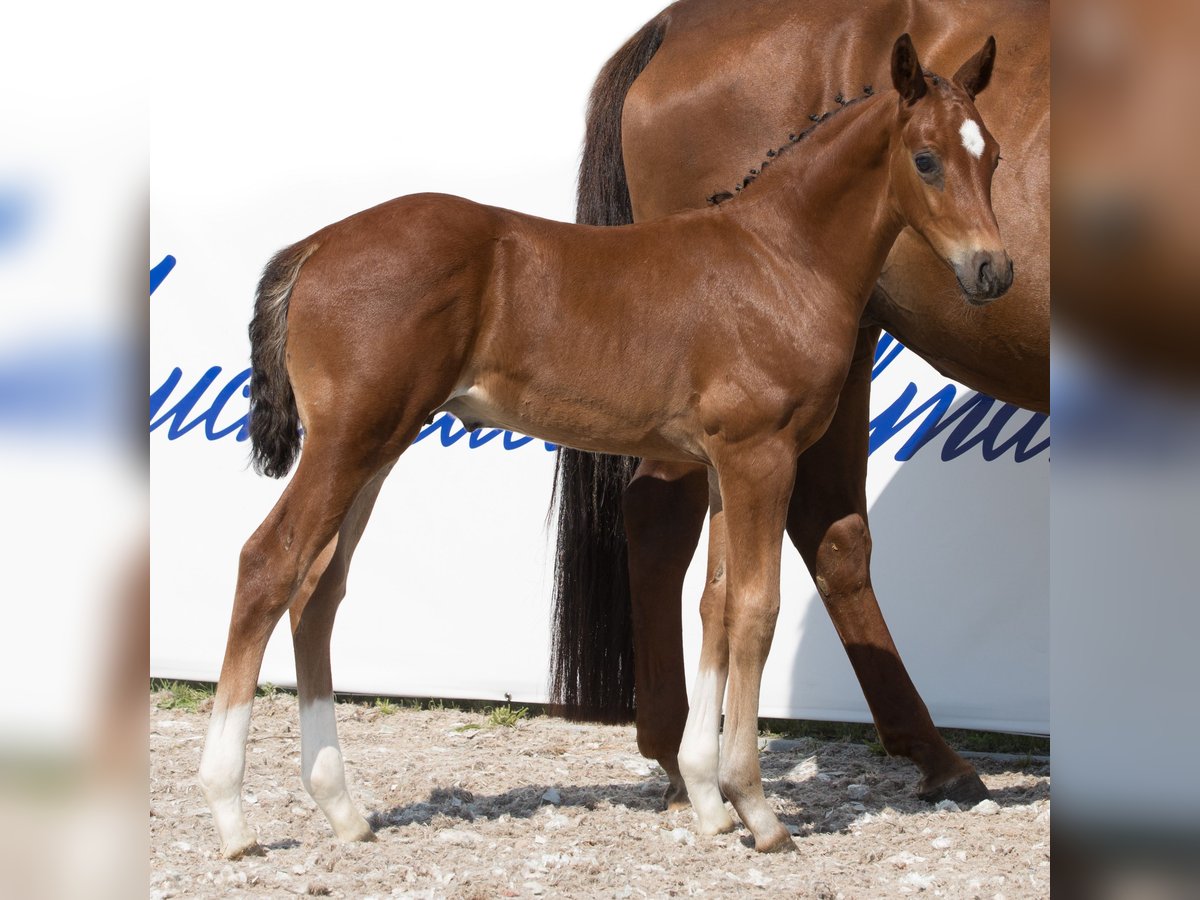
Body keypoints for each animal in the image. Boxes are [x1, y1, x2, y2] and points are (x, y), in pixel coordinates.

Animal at [201, 37, 1008, 859]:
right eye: (926, 159)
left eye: (995, 156)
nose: (992, 270)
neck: (780, 258)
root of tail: (316, 243)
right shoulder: (762, 456)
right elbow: (756, 609)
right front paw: (756, 809)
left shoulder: (721, 463)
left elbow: (715, 606)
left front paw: (709, 799)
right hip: (348, 442)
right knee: (268, 563)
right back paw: (232, 815)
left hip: (375, 445)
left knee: (317, 590)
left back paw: (342, 809)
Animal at [549, 0, 1046, 811]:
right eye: (926, 161)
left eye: (997, 158)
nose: (993, 271)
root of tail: (666, 27)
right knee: (666, 517)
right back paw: (682, 755)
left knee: (827, 536)